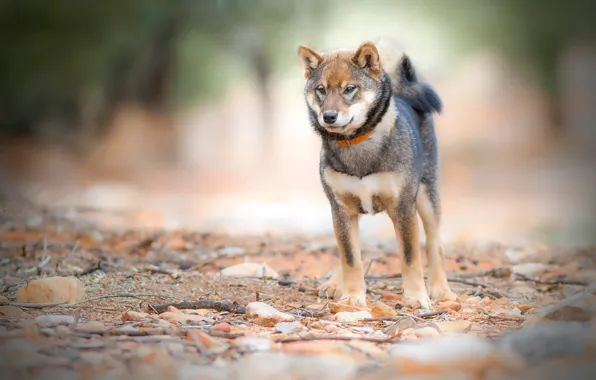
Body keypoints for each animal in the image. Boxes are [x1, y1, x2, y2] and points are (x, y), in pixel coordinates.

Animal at [298, 38, 456, 308]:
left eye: (350, 89)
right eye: (321, 90)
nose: (328, 116)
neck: (356, 143)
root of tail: (403, 95)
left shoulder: (403, 209)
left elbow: (410, 259)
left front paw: (416, 297)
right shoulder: (341, 209)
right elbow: (350, 259)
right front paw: (352, 297)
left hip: (427, 200)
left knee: (435, 244)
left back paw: (440, 288)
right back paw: (334, 284)